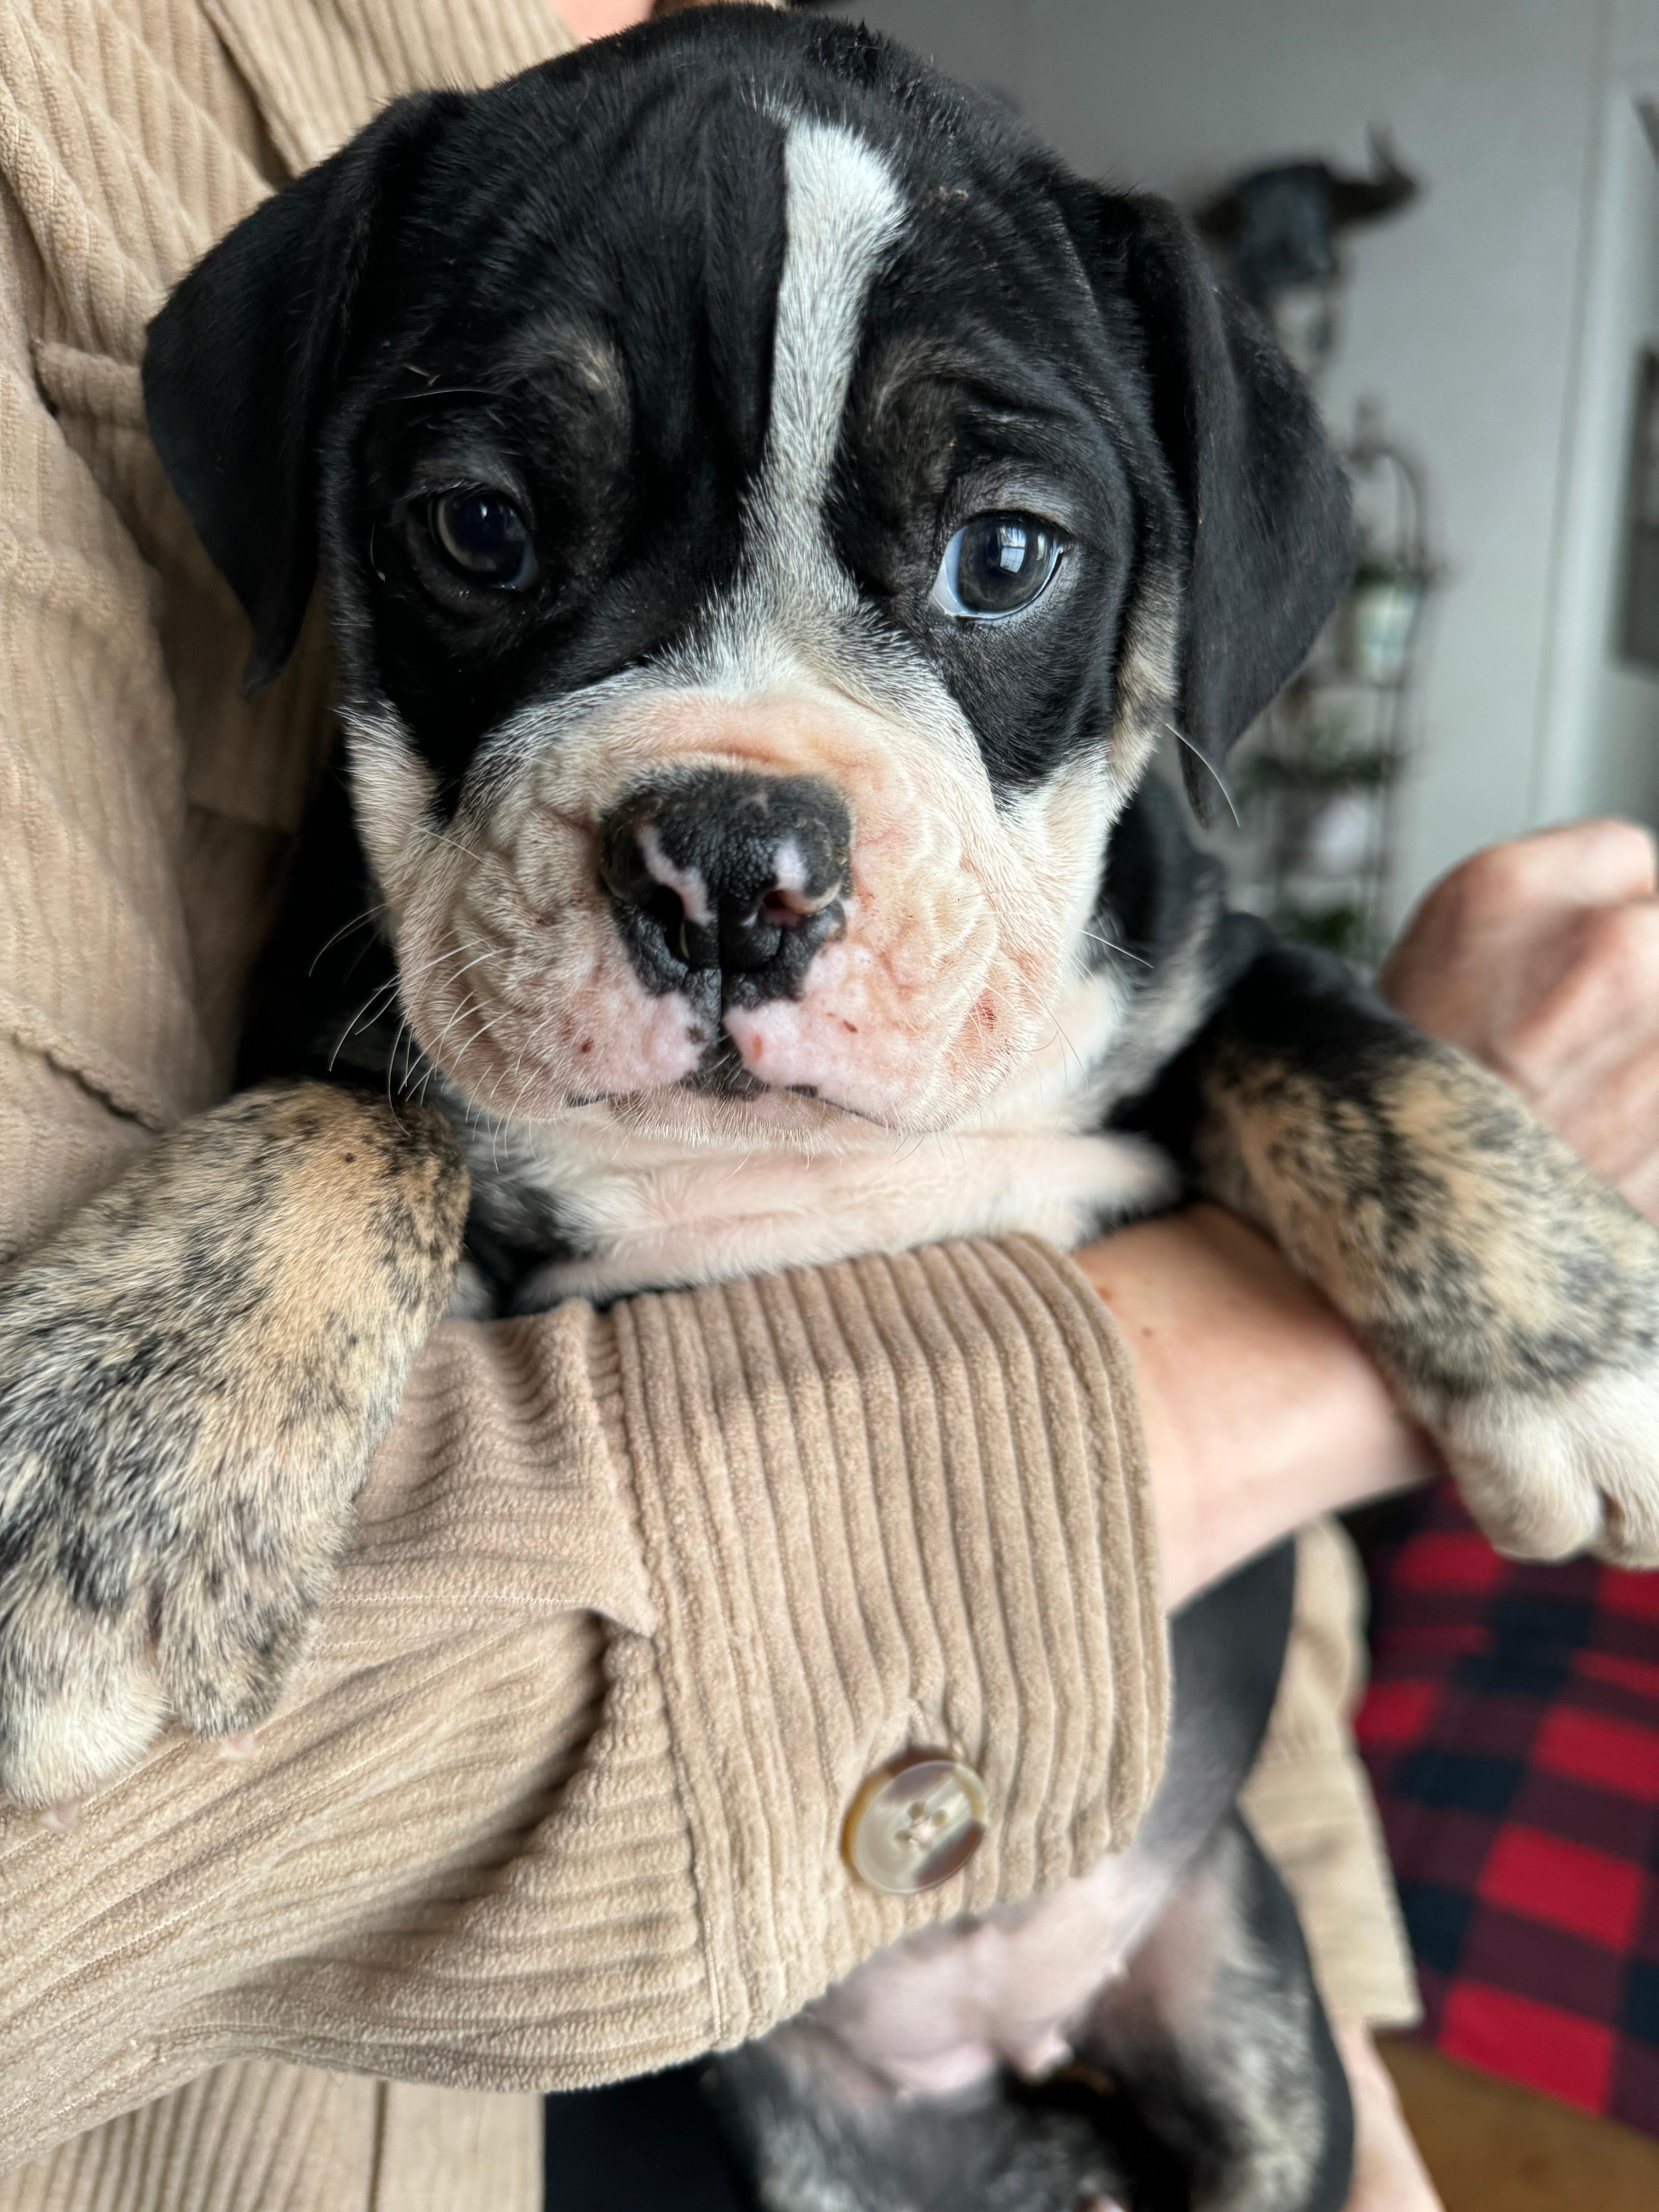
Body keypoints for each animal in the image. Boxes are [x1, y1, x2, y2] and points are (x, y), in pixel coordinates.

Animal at [3, 9, 1659, 2203]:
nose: (729, 862)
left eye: (1005, 559)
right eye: (477, 530)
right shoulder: (351, 1007)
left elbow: (1343, 1038)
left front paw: (1577, 1338)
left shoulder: (1204, 961)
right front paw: (110, 1475)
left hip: (1240, 2007)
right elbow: (339, 1128)